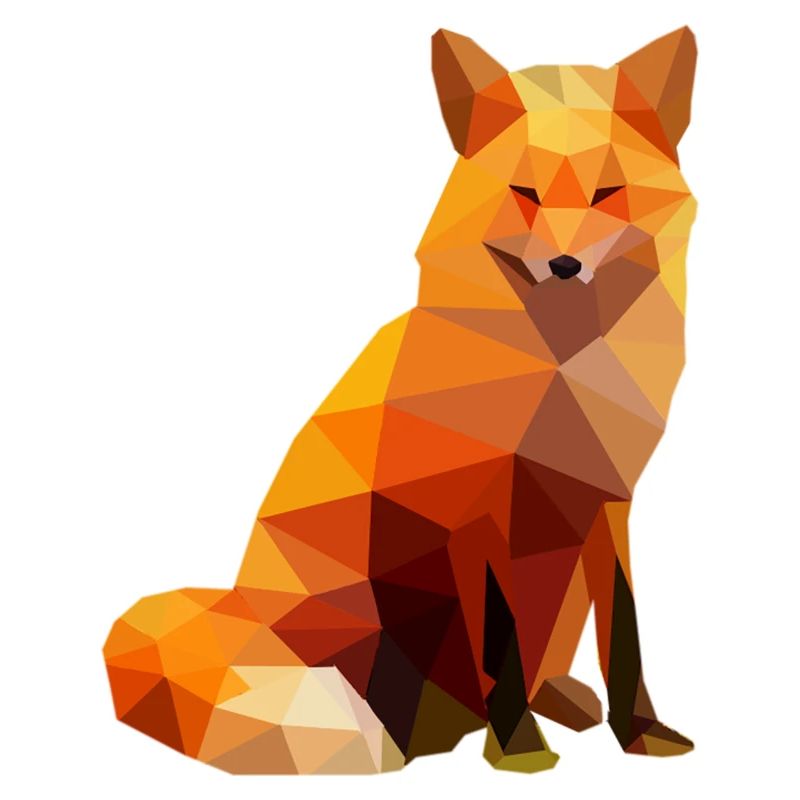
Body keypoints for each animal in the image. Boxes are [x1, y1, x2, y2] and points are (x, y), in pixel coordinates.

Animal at [104, 27, 698, 774]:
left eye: (608, 193)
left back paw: (558, 701)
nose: (565, 267)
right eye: (525, 193)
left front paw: (642, 735)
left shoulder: (606, 506)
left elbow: (626, 639)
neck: (559, 375)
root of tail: (245, 609)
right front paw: (519, 751)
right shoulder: (480, 519)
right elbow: (501, 655)